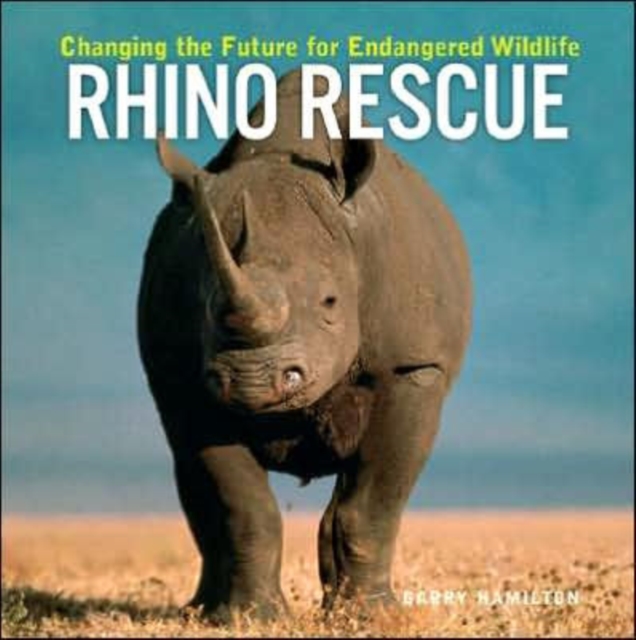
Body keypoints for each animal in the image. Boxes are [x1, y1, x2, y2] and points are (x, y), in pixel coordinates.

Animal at [137, 68, 471, 620]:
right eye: (205, 308)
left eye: (331, 302)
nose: (251, 382)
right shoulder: (188, 381)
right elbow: (241, 507)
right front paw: (249, 619)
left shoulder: (413, 366)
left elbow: (372, 505)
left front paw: (370, 618)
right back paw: (199, 611)